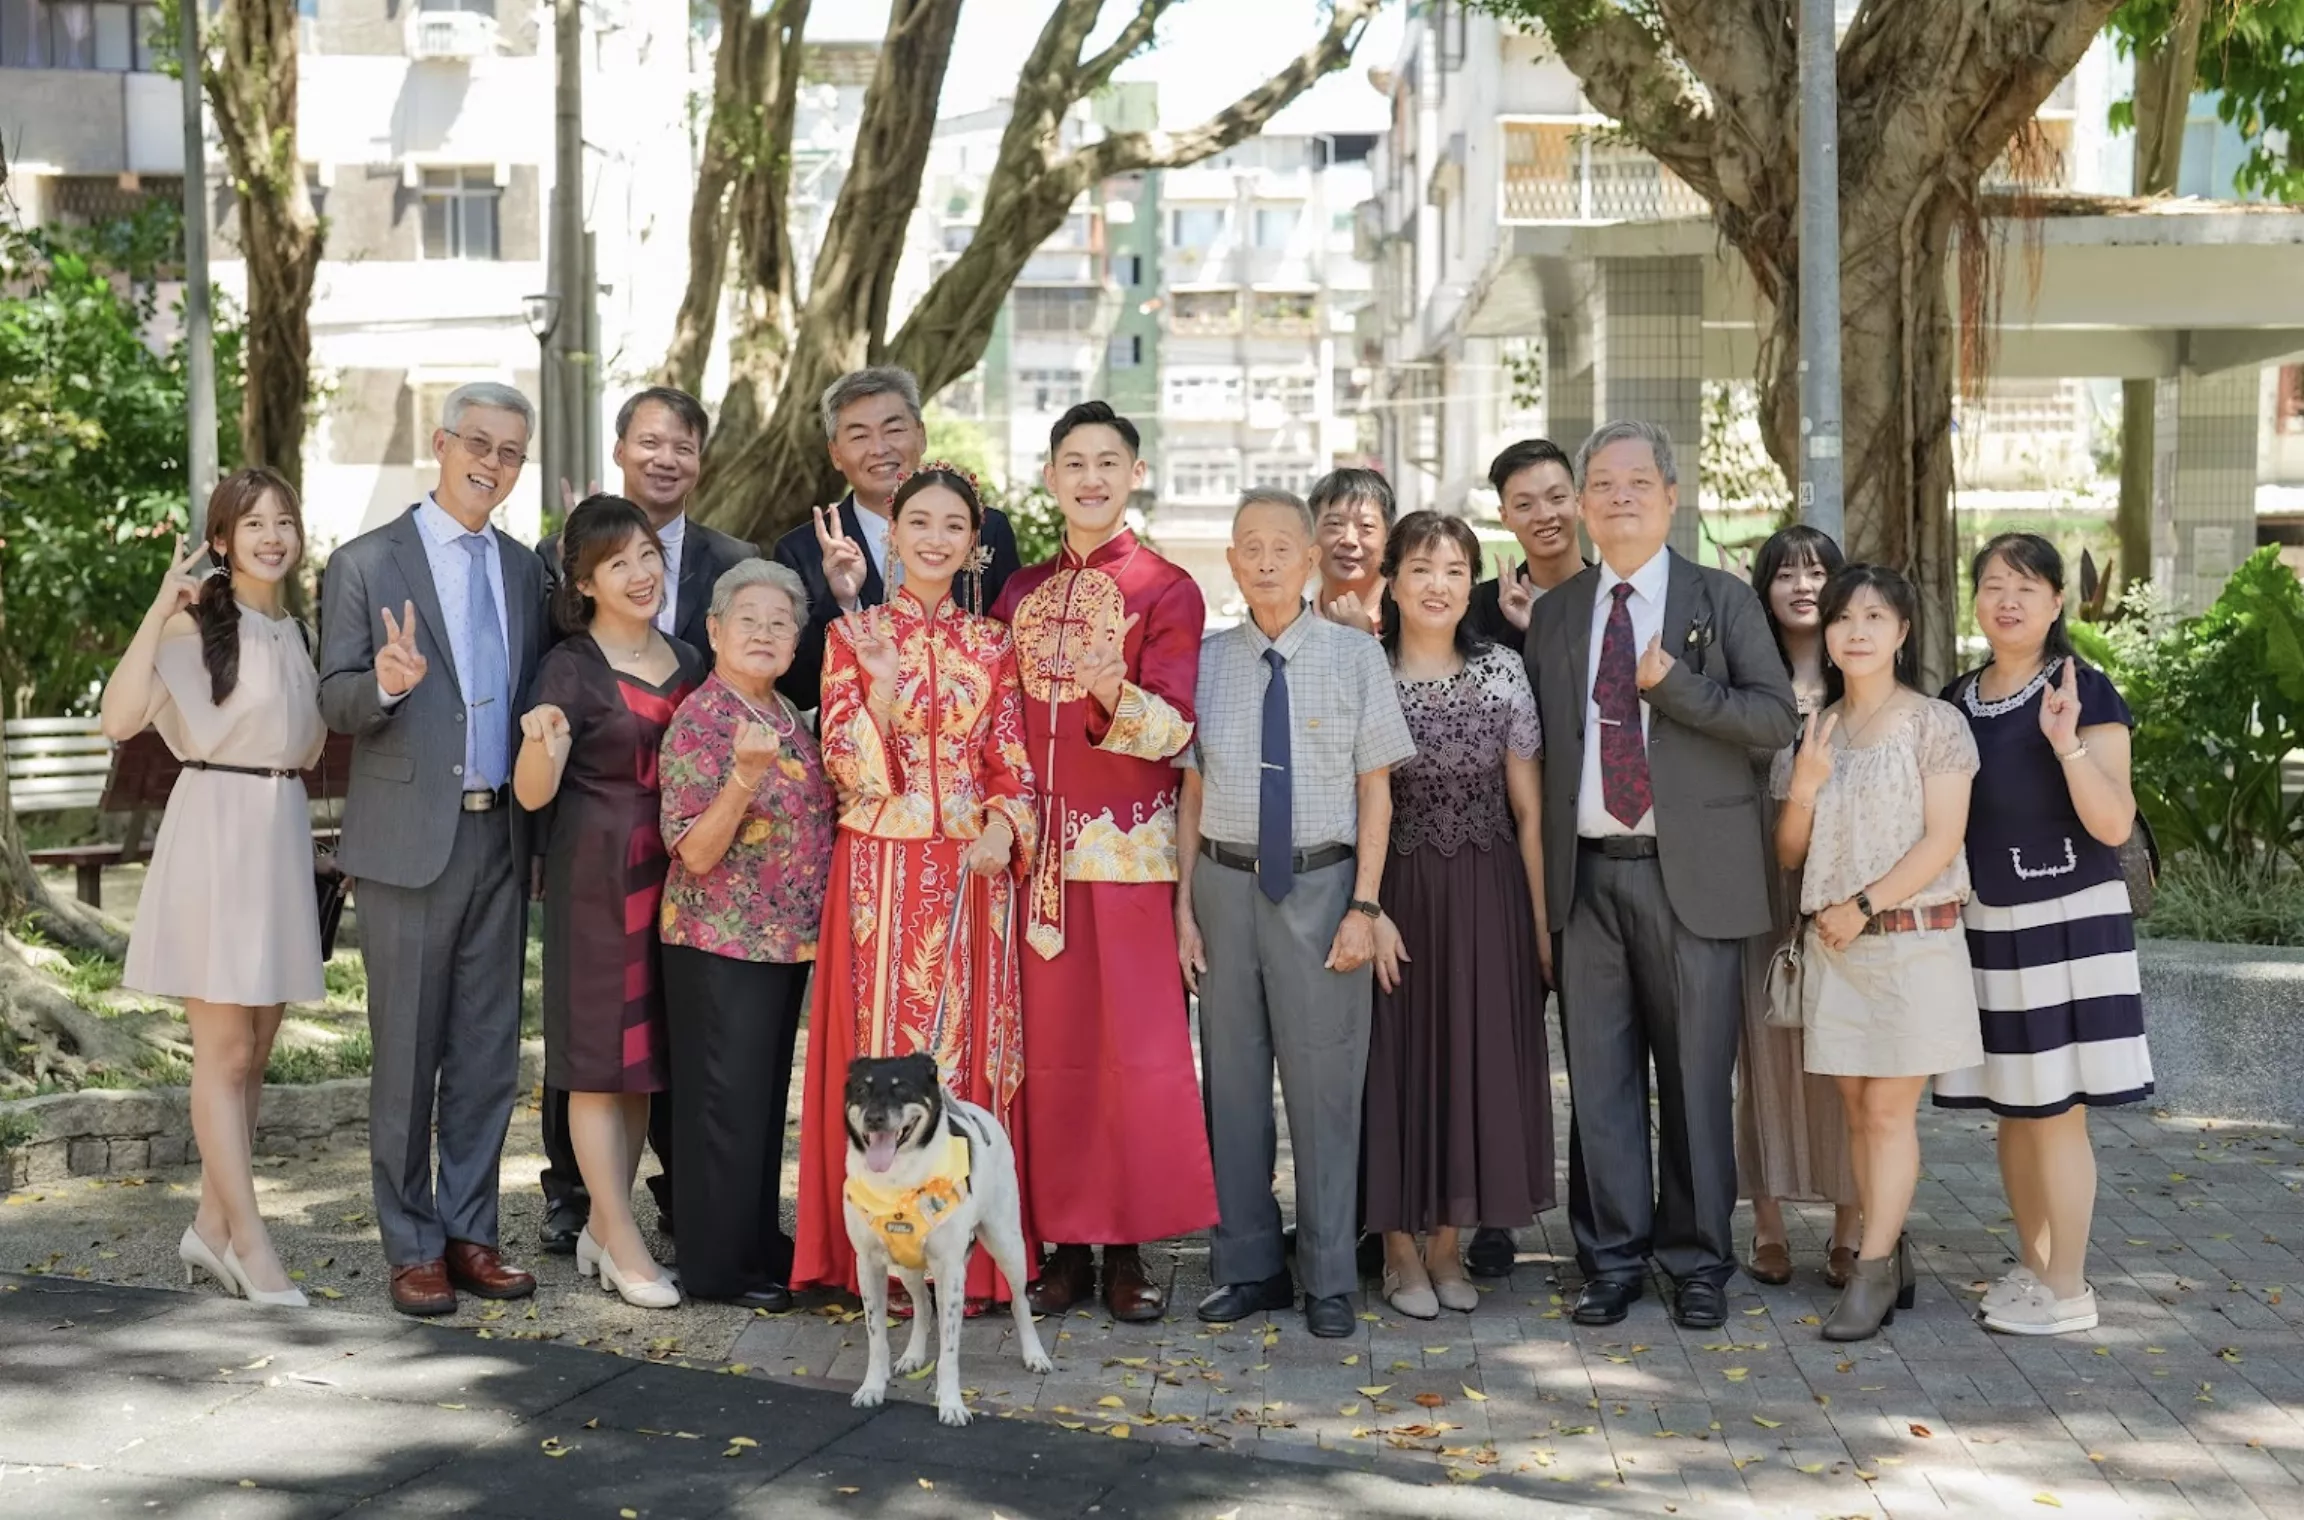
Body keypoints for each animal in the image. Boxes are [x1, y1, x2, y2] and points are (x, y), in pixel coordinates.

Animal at [843, 1054, 1050, 1427]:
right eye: (862, 1090)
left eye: (902, 1088)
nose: (874, 1118)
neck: (897, 1179)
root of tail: (976, 1109)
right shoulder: (867, 1264)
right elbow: (877, 1336)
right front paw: (872, 1387)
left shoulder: (951, 1269)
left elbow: (949, 1351)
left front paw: (951, 1403)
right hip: (908, 1265)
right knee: (924, 1304)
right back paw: (912, 1355)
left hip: (1007, 1243)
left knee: (1019, 1302)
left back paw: (1035, 1354)